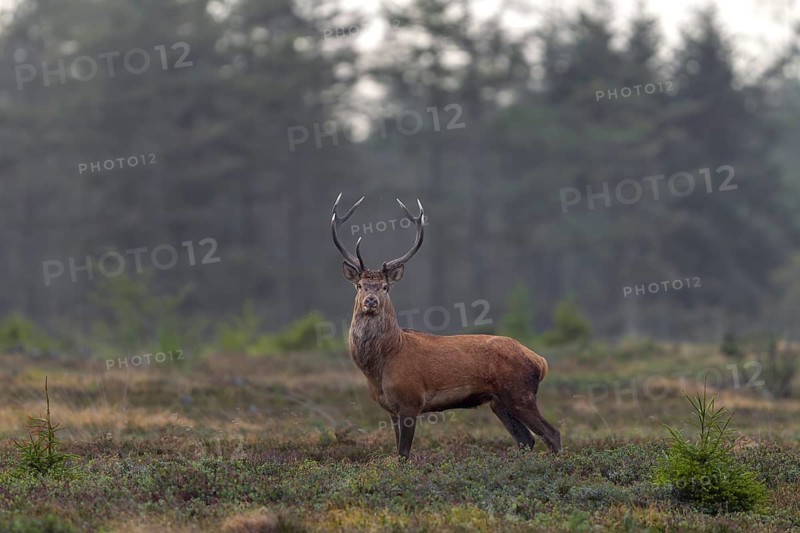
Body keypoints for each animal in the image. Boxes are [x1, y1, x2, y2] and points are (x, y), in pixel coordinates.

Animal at [331, 193, 562, 459]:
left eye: (385, 287)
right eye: (359, 285)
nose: (371, 301)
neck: (379, 365)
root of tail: (540, 361)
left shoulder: (410, 401)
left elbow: (403, 454)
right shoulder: (390, 409)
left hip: (520, 394)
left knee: (552, 433)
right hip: (499, 402)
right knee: (526, 439)